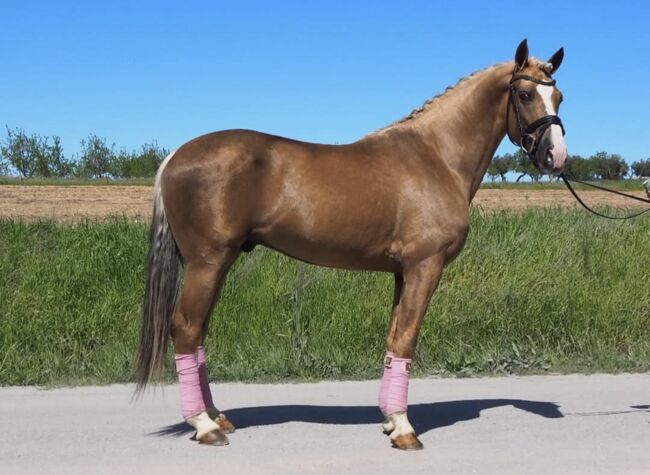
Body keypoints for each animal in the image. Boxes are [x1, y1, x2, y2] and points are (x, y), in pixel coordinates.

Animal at [135, 39, 568, 450]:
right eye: (525, 94)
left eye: (560, 97)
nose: (556, 156)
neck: (435, 157)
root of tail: (175, 156)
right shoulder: (425, 267)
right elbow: (407, 339)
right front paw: (404, 430)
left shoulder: (403, 273)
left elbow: (393, 339)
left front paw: (391, 420)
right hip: (207, 263)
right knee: (186, 328)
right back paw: (204, 426)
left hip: (216, 265)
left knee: (198, 333)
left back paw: (216, 417)